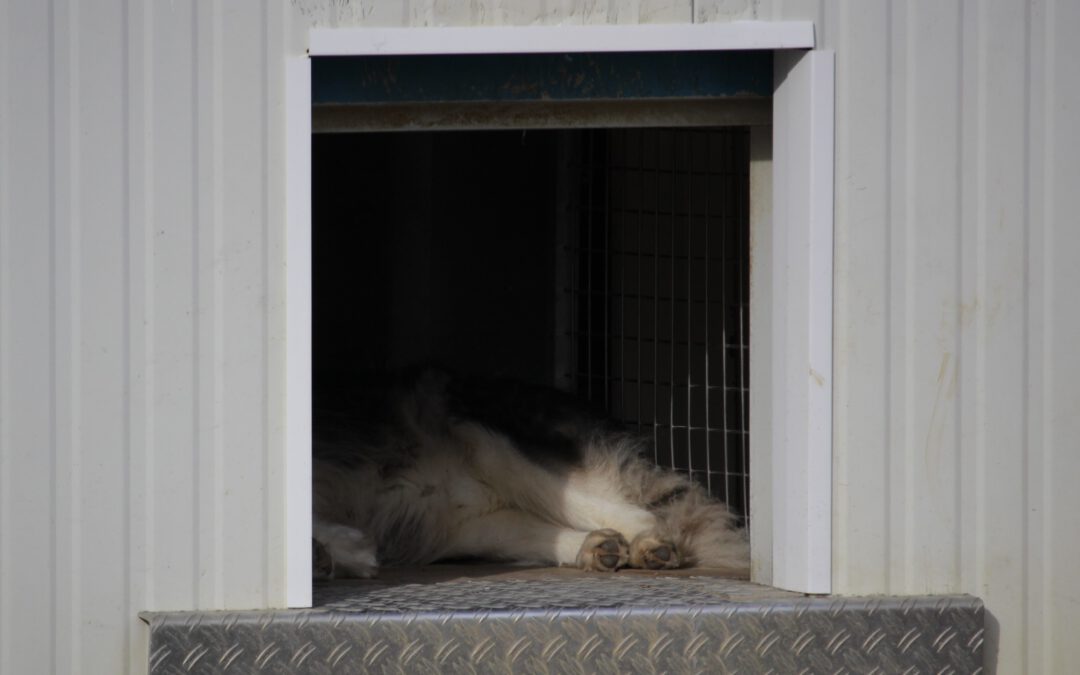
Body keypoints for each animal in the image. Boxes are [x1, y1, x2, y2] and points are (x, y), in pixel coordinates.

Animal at [313, 369, 751, 578]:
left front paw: (340, 551)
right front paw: (336, 554)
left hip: (483, 434)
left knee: (639, 514)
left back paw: (650, 546)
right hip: (465, 525)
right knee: (547, 530)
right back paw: (597, 549)